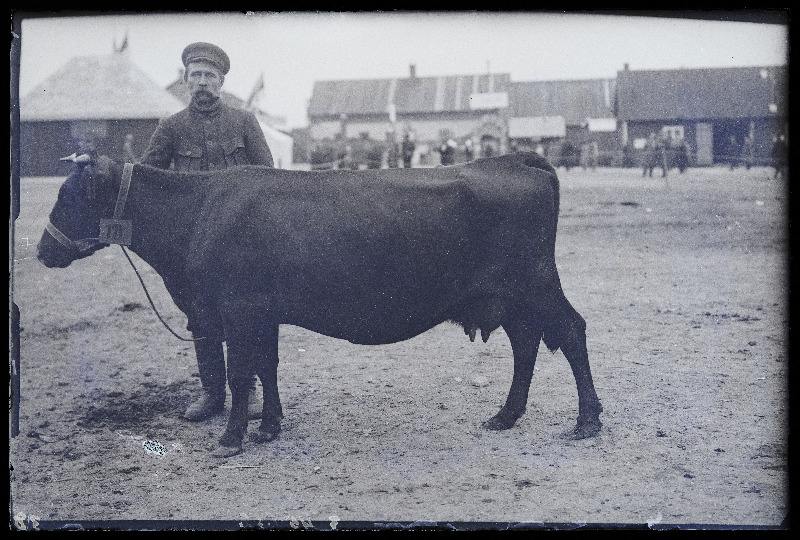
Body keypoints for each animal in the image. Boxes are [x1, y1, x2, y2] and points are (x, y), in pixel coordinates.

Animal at [36, 151, 600, 456]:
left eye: (69, 196)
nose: (41, 251)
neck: (200, 212)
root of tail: (512, 158)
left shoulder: (237, 308)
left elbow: (240, 373)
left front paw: (232, 436)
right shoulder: (262, 313)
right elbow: (266, 367)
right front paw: (269, 427)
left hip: (534, 283)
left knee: (571, 332)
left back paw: (587, 421)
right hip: (510, 298)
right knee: (527, 343)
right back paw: (506, 415)